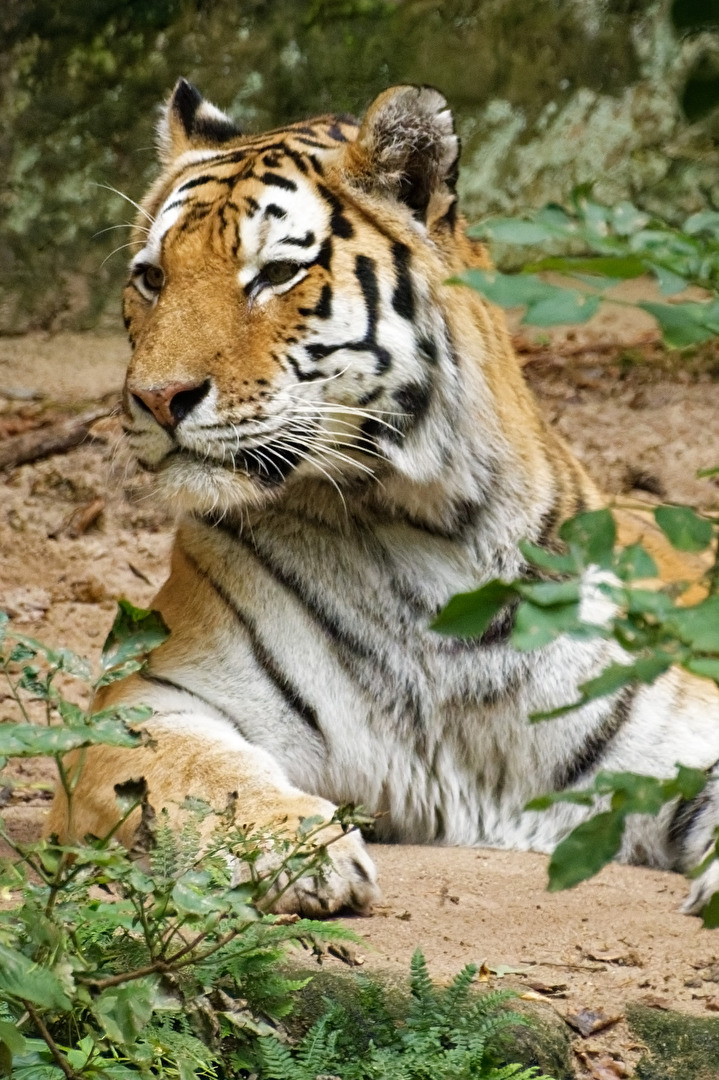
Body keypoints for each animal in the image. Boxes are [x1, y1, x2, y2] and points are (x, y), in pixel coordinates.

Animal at [47, 78, 719, 916]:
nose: (155, 398)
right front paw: (294, 849)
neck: (411, 526)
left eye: (275, 274)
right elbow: (197, 773)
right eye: (151, 277)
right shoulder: (144, 699)